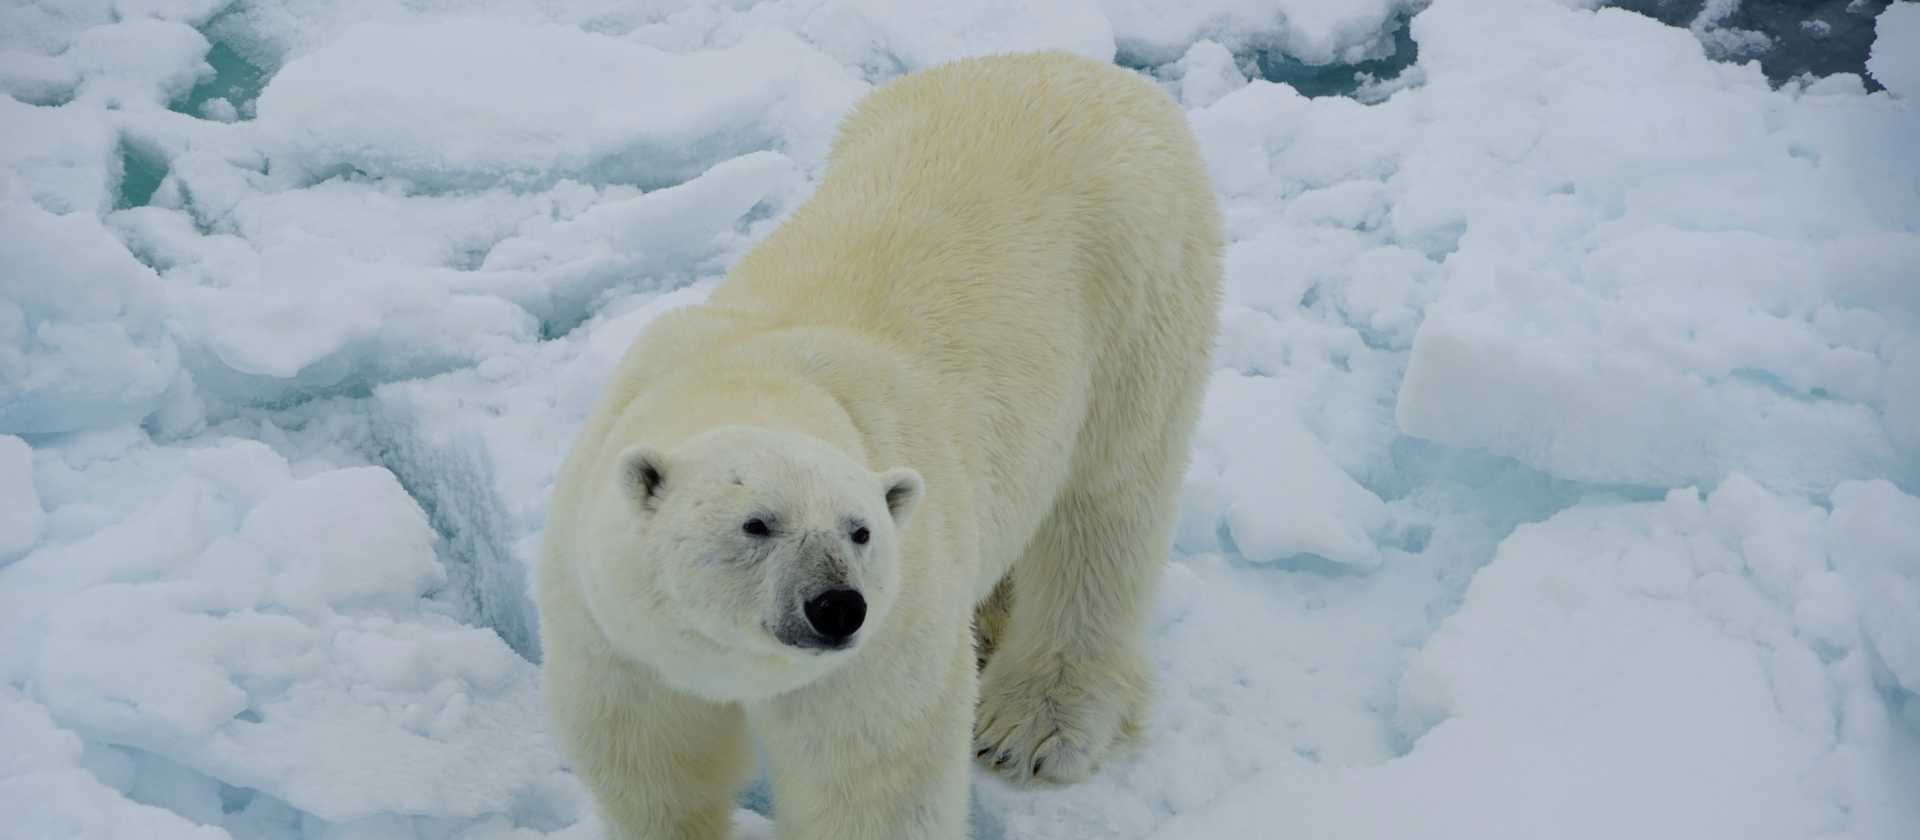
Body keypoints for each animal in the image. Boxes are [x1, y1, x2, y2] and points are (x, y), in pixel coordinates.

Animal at [535, 50, 1223, 840]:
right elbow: (654, 764)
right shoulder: (609, 631)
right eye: (756, 524)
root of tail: (1090, 69)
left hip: (1141, 291)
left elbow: (873, 780)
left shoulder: (889, 636)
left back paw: (1035, 722)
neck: (751, 381)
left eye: (859, 530)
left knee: (1106, 508)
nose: (836, 607)